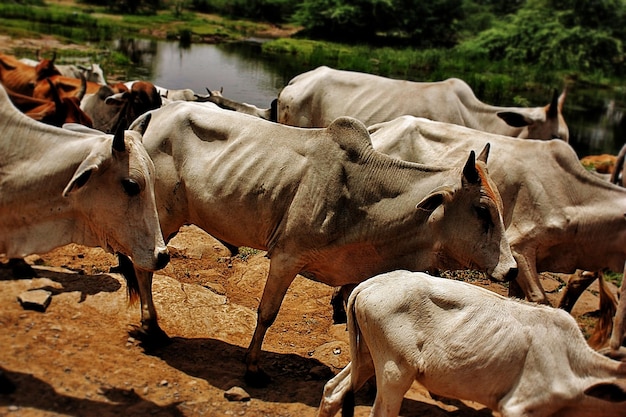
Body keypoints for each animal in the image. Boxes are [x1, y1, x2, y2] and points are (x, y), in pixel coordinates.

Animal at [119, 101, 516, 386]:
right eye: (482, 209)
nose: (510, 269)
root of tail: (151, 116)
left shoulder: (354, 273)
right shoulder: (286, 256)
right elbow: (267, 313)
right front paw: (253, 367)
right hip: (160, 218)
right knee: (144, 267)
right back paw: (152, 328)